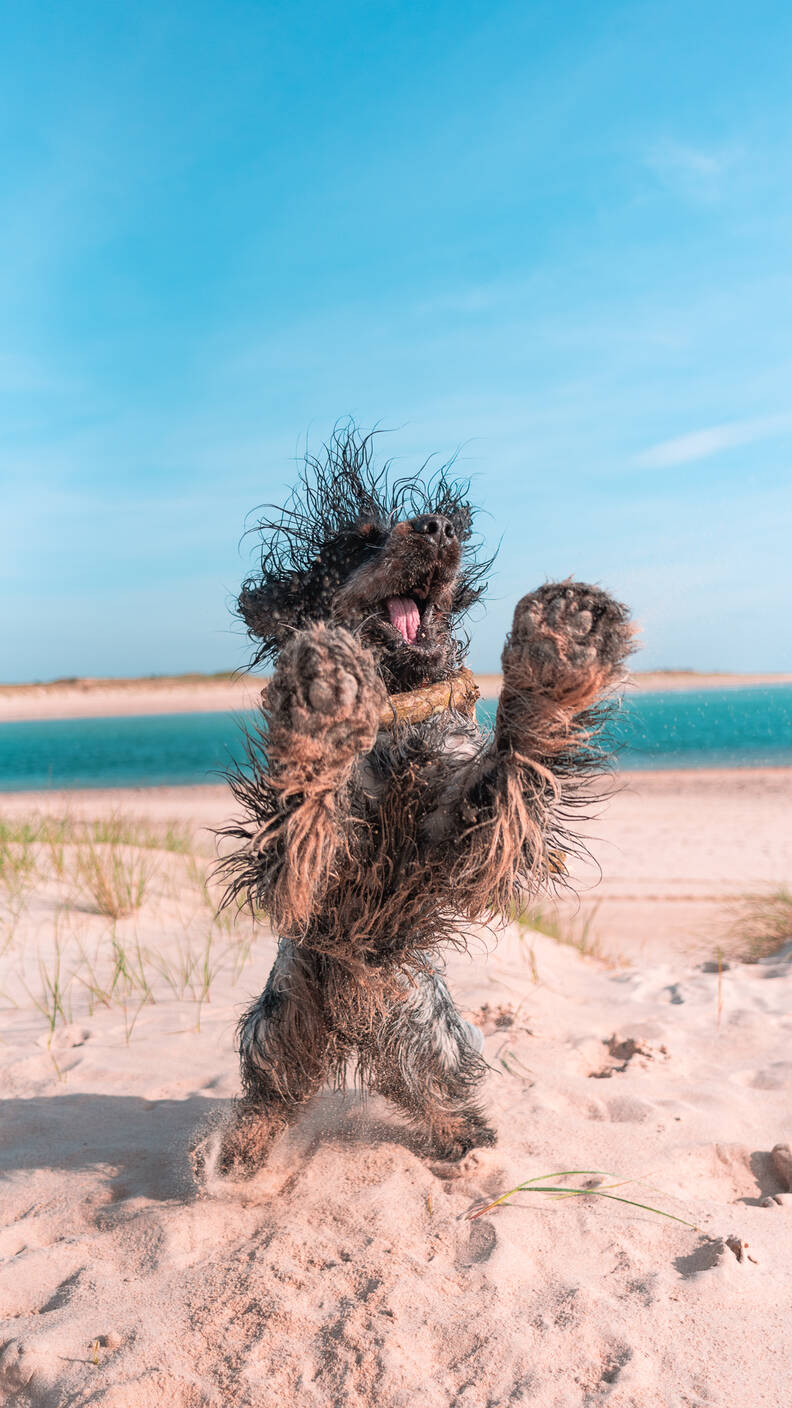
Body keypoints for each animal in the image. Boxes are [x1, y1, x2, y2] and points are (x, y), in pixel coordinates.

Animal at [195, 425, 628, 1177]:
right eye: (360, 542)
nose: (438, 527)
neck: (399, 706)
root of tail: (355, 1019)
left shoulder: (462, 837)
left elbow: (510, 764)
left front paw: (562, 643)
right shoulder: (302, 873)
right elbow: (307, 815)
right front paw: (325, 700)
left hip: (433, 1037)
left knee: (434, 1094)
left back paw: (463, 1142)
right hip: (279, 1024)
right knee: (269, 1097)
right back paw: (240, 1158)